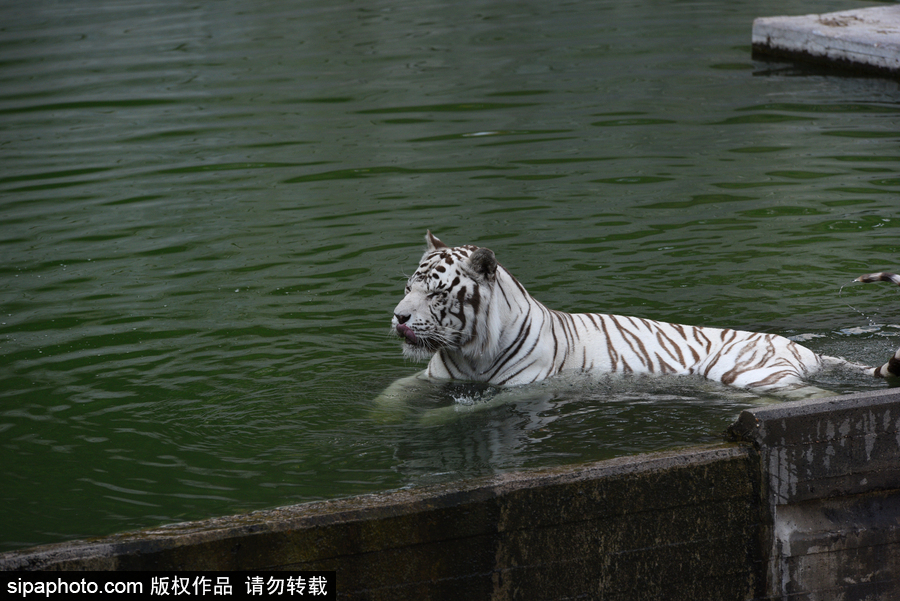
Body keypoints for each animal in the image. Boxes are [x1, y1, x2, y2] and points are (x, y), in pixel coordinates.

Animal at [386, 230, 900, 394]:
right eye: (408, 287)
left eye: (435, 293)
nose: (399, 317)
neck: (470, 348)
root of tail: (804, 350)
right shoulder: (429, 378)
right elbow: (392, 396)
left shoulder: (519, 389)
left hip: (749, 373)